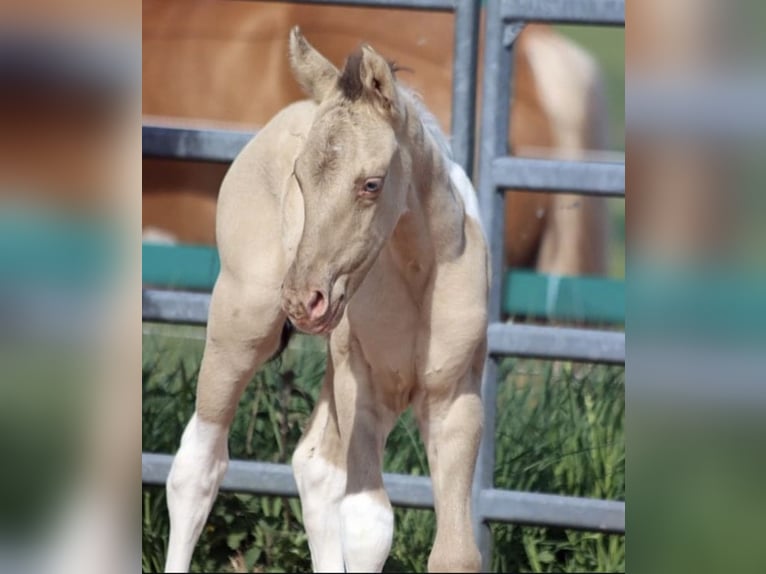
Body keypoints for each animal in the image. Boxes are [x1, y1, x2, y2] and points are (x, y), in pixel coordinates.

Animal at [163, 28, 489, 573]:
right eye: (299, 178)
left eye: (371, 184)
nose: (304, 299)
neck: (418, 276)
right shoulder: (364, 386)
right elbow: (367, 526)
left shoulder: (455, 399)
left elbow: (457, 552)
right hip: (242, 324)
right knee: (197, 466)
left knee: (313, 465)